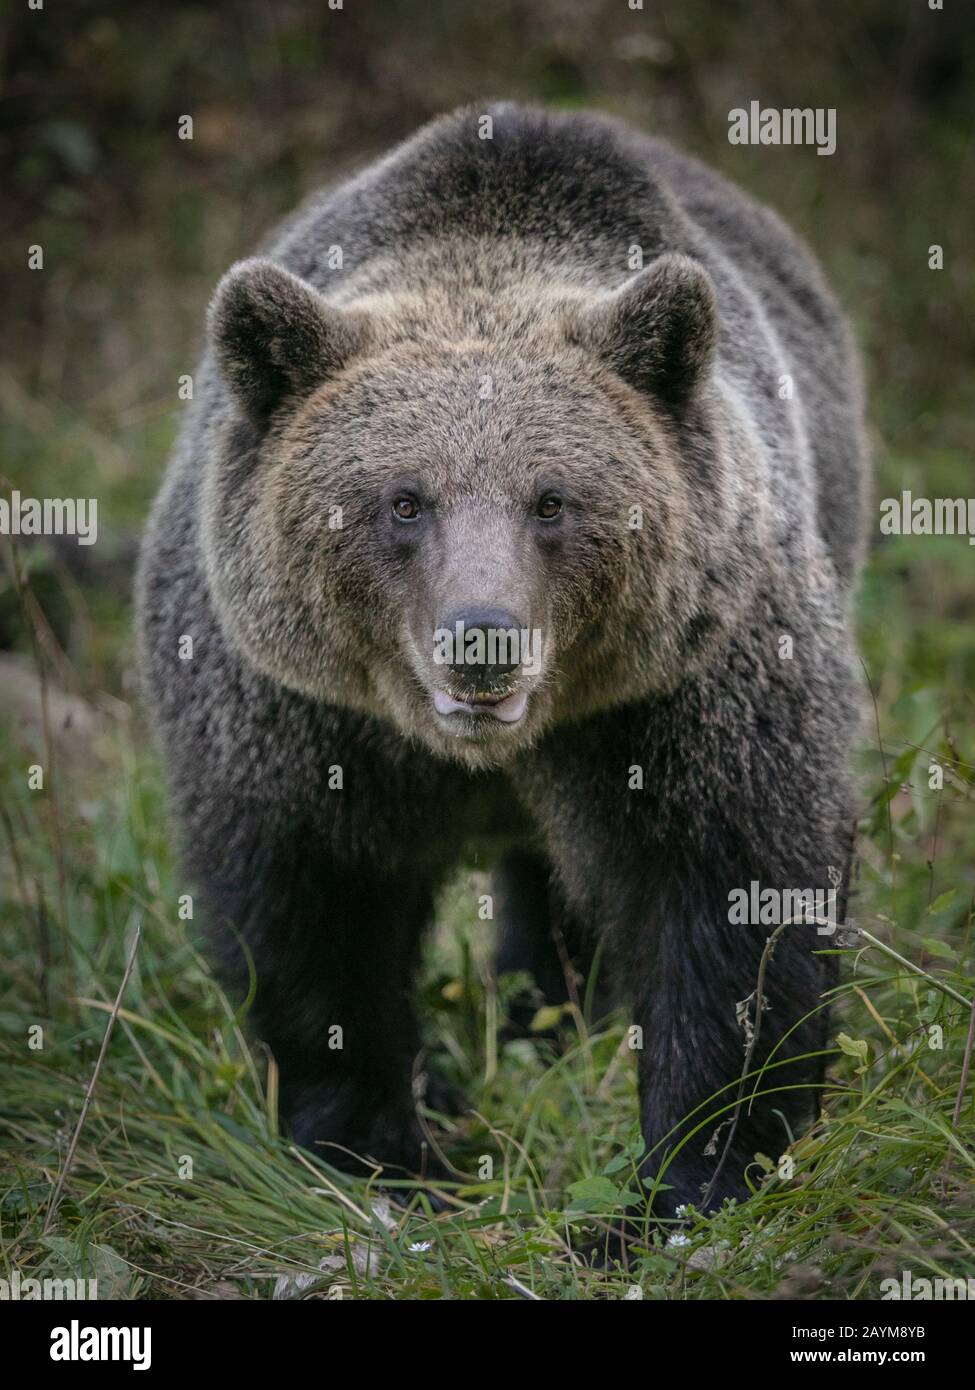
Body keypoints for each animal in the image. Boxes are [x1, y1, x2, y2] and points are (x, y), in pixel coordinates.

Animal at [136, 102, 868, 1220]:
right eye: (403, 500)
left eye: (552, 499)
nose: (482, 636)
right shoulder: (293, 713)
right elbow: (313, 916)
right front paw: (381, 1150)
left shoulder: (686, 692)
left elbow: (736, 896)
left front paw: (688, 1178)